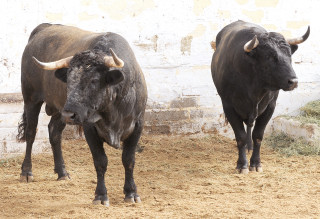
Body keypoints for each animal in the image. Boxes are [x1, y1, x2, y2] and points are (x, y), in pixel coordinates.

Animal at [17, 23, 148, 205]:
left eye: (94, 80)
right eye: (69, 80)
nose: (69, 114)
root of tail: (45, 27)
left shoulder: (137, 125)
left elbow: (128, 159)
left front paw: (131, 193)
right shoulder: (89, 127)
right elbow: (100, 161)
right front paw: (101, 196)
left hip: (59, 110)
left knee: (54, 132)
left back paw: (62, 172)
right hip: (31, 99)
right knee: (31, 133)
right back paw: (26, 172)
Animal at [211, 21, 308, 175]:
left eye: (289, 56)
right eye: (270, 56)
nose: (293, 82)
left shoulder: (270, 106)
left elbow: (257, 136)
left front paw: (256, 163)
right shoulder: (228, 106)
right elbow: (240, 137)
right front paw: (242, 164)